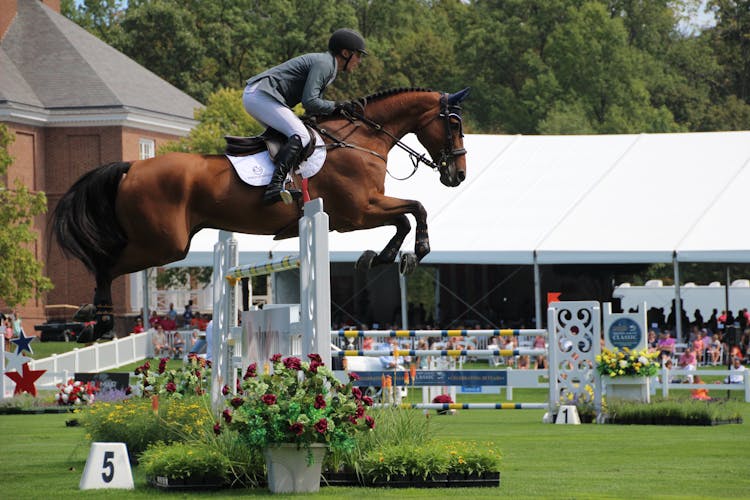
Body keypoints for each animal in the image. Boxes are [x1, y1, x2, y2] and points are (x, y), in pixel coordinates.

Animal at [54, 88, 470, 334]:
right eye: (453, 123)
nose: (458, 175)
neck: (359, 140)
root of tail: (132, 167)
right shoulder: (357, 213)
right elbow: (415, 209)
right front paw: (415, 252)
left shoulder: (356, 215)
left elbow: (405, 216)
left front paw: (382, 257)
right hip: (163, 244)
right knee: (106, 263)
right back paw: (98, 319)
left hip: (162, 242)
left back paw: (90, 315)